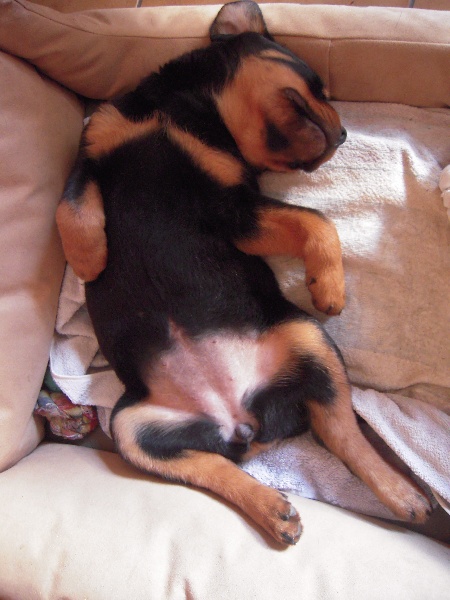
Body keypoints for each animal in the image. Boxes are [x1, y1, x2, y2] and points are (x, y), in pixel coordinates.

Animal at [56, 1, 431, 546]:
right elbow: (72, 205)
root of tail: (242, 422)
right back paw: (273, 509)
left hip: (307, 339)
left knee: (342, 434)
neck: (183, 110)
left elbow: (315, 220)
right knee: (216, 467)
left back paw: (401, 496)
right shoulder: (95, 150)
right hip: (133, 429)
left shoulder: (235, 209)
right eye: (318, 85)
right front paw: (89, 258)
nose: (342, 136)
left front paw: (329, 288)